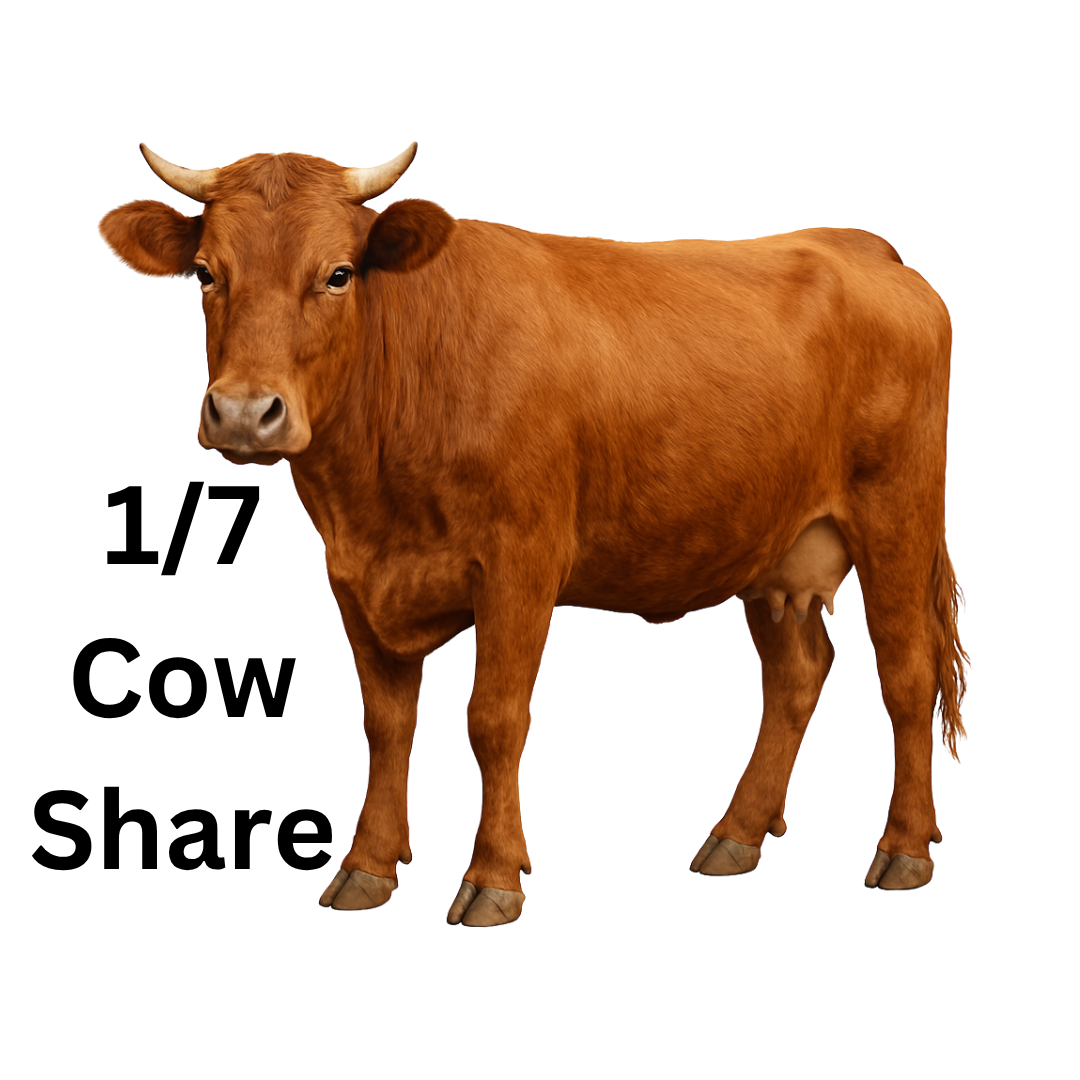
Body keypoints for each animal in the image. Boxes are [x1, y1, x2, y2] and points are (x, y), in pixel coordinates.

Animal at [98, 141, 971, 926]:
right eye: (206, 274)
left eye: (338, 274)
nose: (245, 413)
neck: (374, 493)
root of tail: (859, 246)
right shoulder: (350, 574)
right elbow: (386, 722)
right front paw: (366, 867)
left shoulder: (521, 561)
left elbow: (494, 719)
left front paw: (492, 880)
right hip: (773, 544)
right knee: (796, 676)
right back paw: (735, 837)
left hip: (897, 509)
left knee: (905, 674)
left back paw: (902, 851)